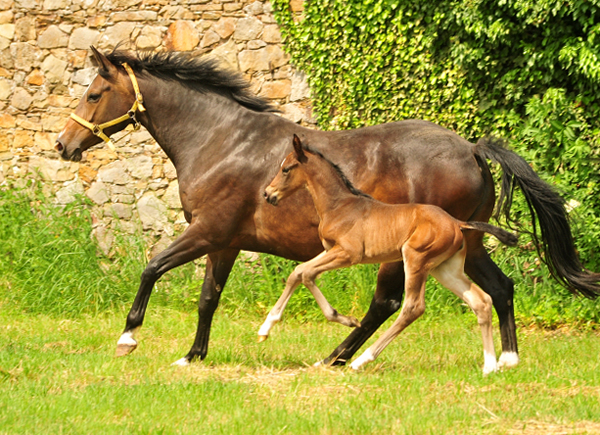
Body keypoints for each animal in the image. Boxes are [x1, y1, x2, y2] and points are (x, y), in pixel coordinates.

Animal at [260, 136, 516, 374]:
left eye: (286, 169)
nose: (267, 193)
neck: (339, 206)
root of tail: (457, 223)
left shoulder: (348, 253)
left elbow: (306, 273)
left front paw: (346, 320)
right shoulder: (329, 250)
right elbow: (298, 272)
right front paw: (265, 329)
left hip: (415, 259)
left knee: (413, 307)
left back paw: (362, 360)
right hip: (445, 268)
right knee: (481, 301)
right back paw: (490, 366)